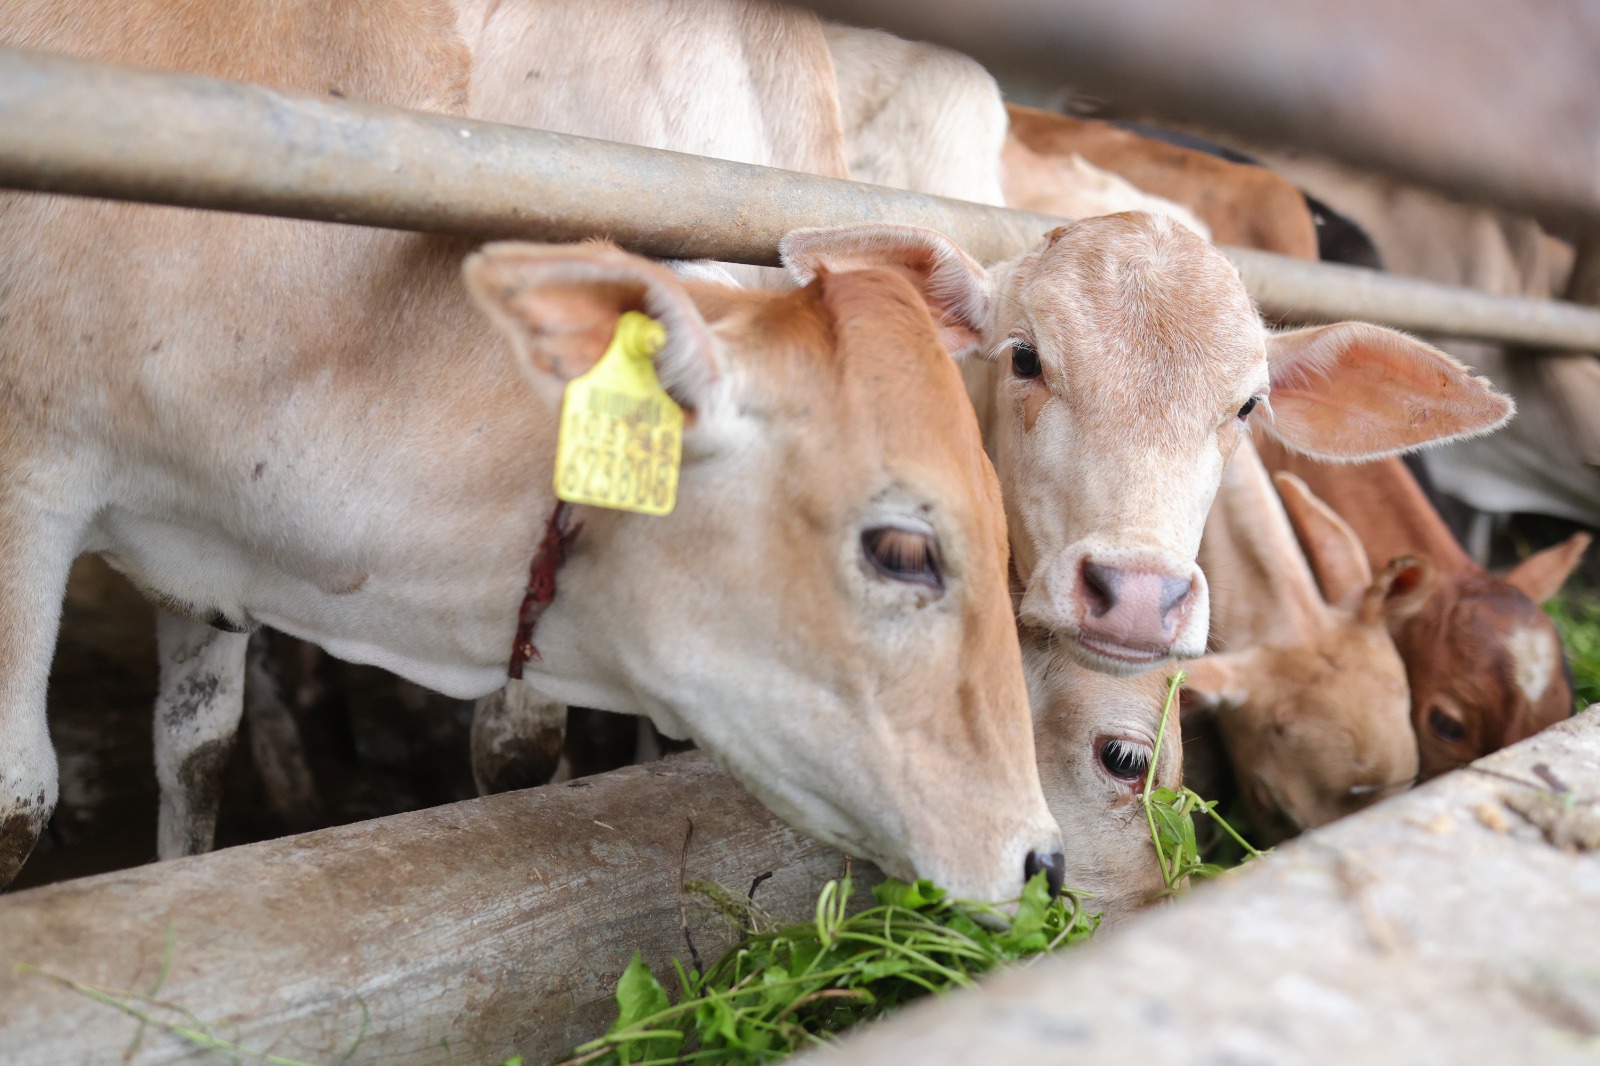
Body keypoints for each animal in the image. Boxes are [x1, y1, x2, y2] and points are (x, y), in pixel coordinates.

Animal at [0, 0, 1067, 901]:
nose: (1043, 857)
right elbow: (20, 801)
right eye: (903, 551)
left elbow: (196, 749)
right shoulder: (30, 490)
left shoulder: (204, 563)